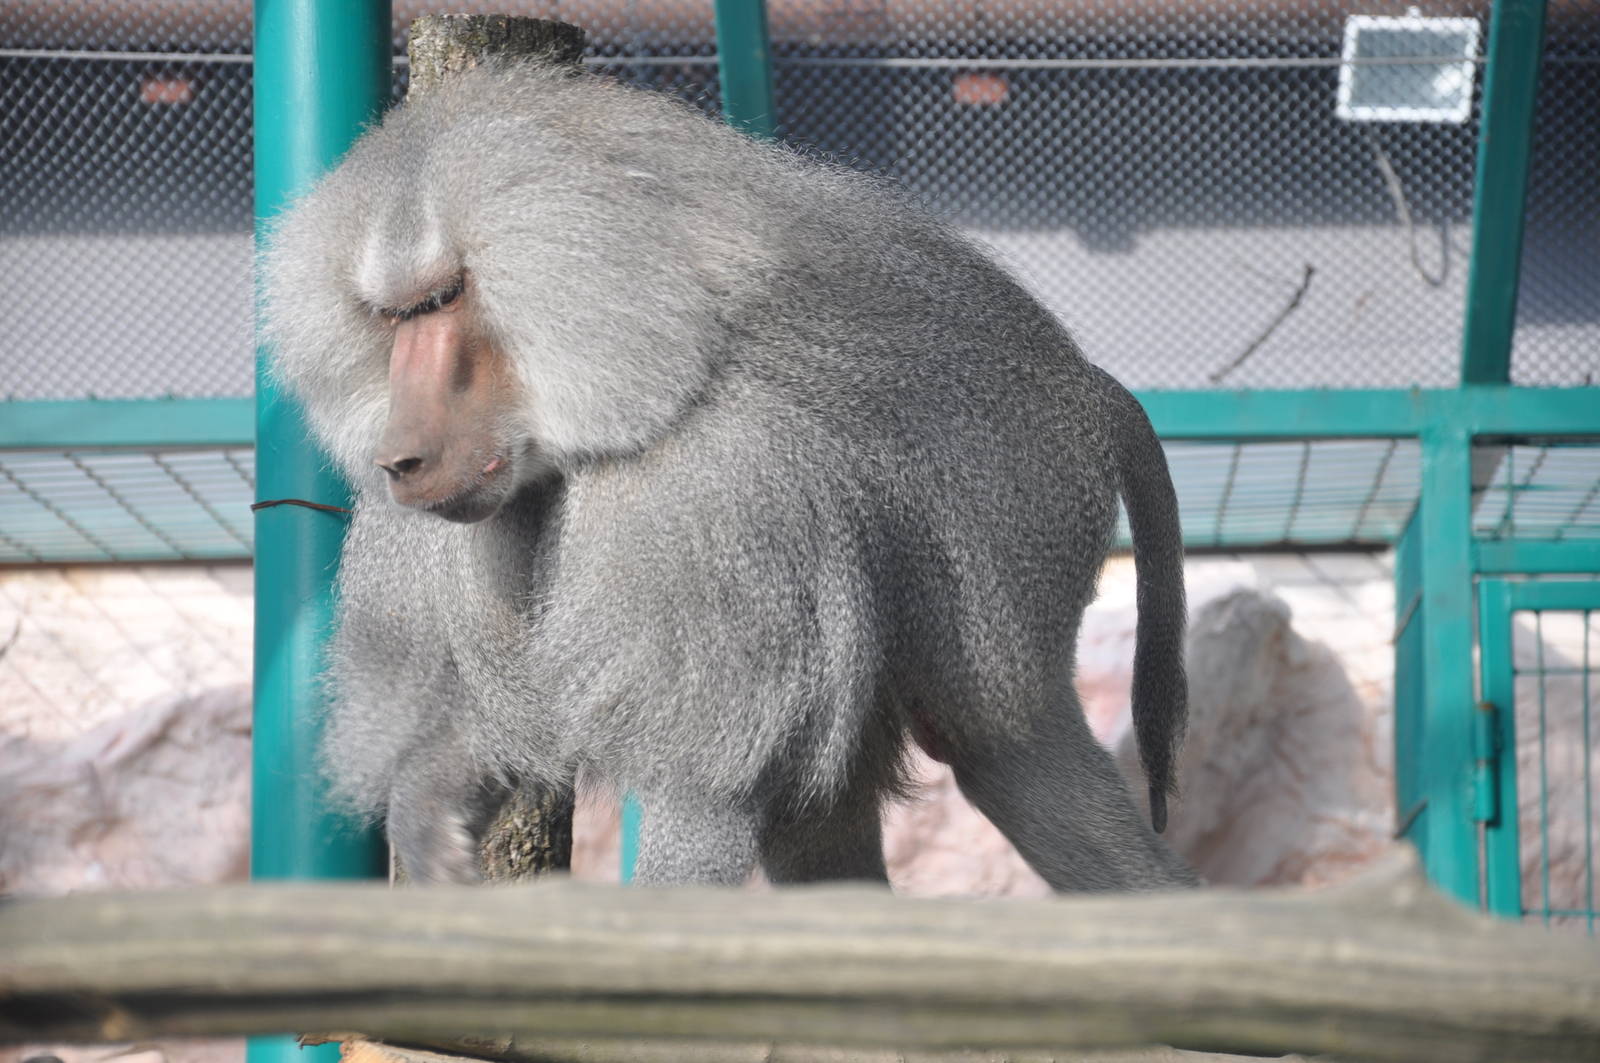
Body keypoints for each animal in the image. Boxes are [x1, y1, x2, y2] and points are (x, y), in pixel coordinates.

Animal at [261, 60, 1197, 892]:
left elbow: (704, 794)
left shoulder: (697, 502)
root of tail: (1084, 385)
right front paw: (431, 816)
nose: (400, 462)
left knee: (1009, 749)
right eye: (389, 320)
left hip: (1023, 509)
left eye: (441, 300)